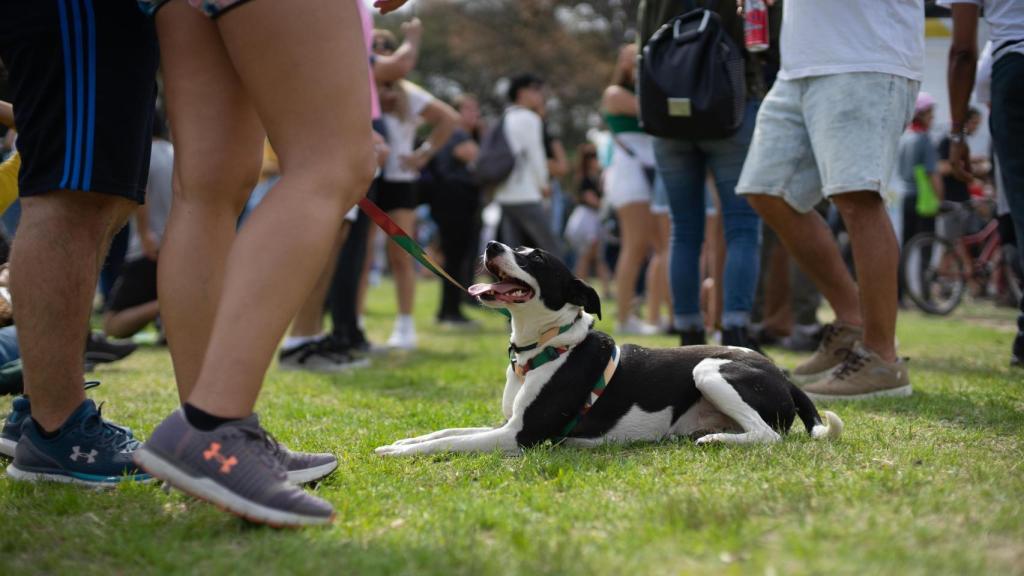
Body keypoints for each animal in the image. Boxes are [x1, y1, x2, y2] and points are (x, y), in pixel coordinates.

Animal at [376, 239, 839, 455]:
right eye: (514, 247)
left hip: (708, 368)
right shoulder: (506, 425)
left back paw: (716, 441)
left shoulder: (520, 436)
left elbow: (446, 443)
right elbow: (446, 432)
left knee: (768, 435)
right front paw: (401, 442)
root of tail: (782, 375)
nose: (492, 244)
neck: (546, 345)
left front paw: (401, 453)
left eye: (535, 259)